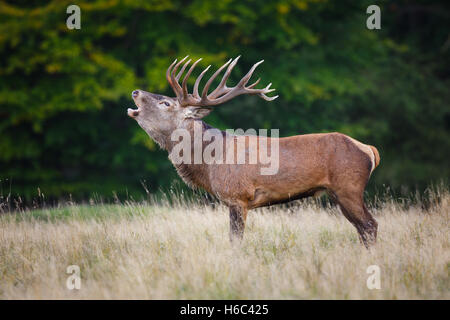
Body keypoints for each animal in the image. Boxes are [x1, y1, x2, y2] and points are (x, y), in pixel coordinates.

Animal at [126, 55, 380, 248]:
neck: (209, 162)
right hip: (337, 192)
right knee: (362, 228)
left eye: (166, 103)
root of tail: (369, 150)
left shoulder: (237, 196)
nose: (135, 91)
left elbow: (235, 240)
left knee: (370, 225)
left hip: (349, 187)